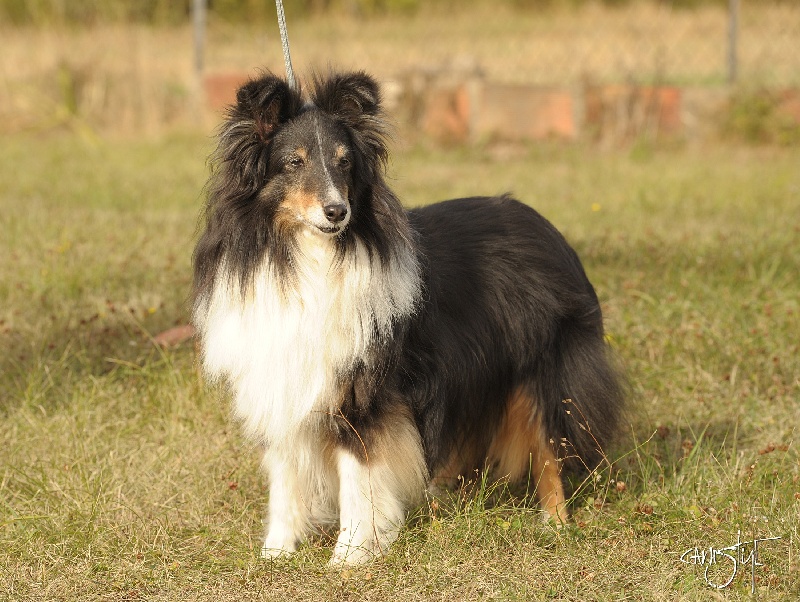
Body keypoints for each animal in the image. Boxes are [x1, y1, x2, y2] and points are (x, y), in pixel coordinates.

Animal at [192, 70, 624, 564]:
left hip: (540, 366)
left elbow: (357, 474)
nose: (337, 212)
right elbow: (285, 475)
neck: (305, 258)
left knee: (548, 446)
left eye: (344, 163)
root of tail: (545, 225)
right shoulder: (280, 379)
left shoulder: (363, 391)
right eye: (293, 163)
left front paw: (350, 554)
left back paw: (555, 523)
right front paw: (277, 552)